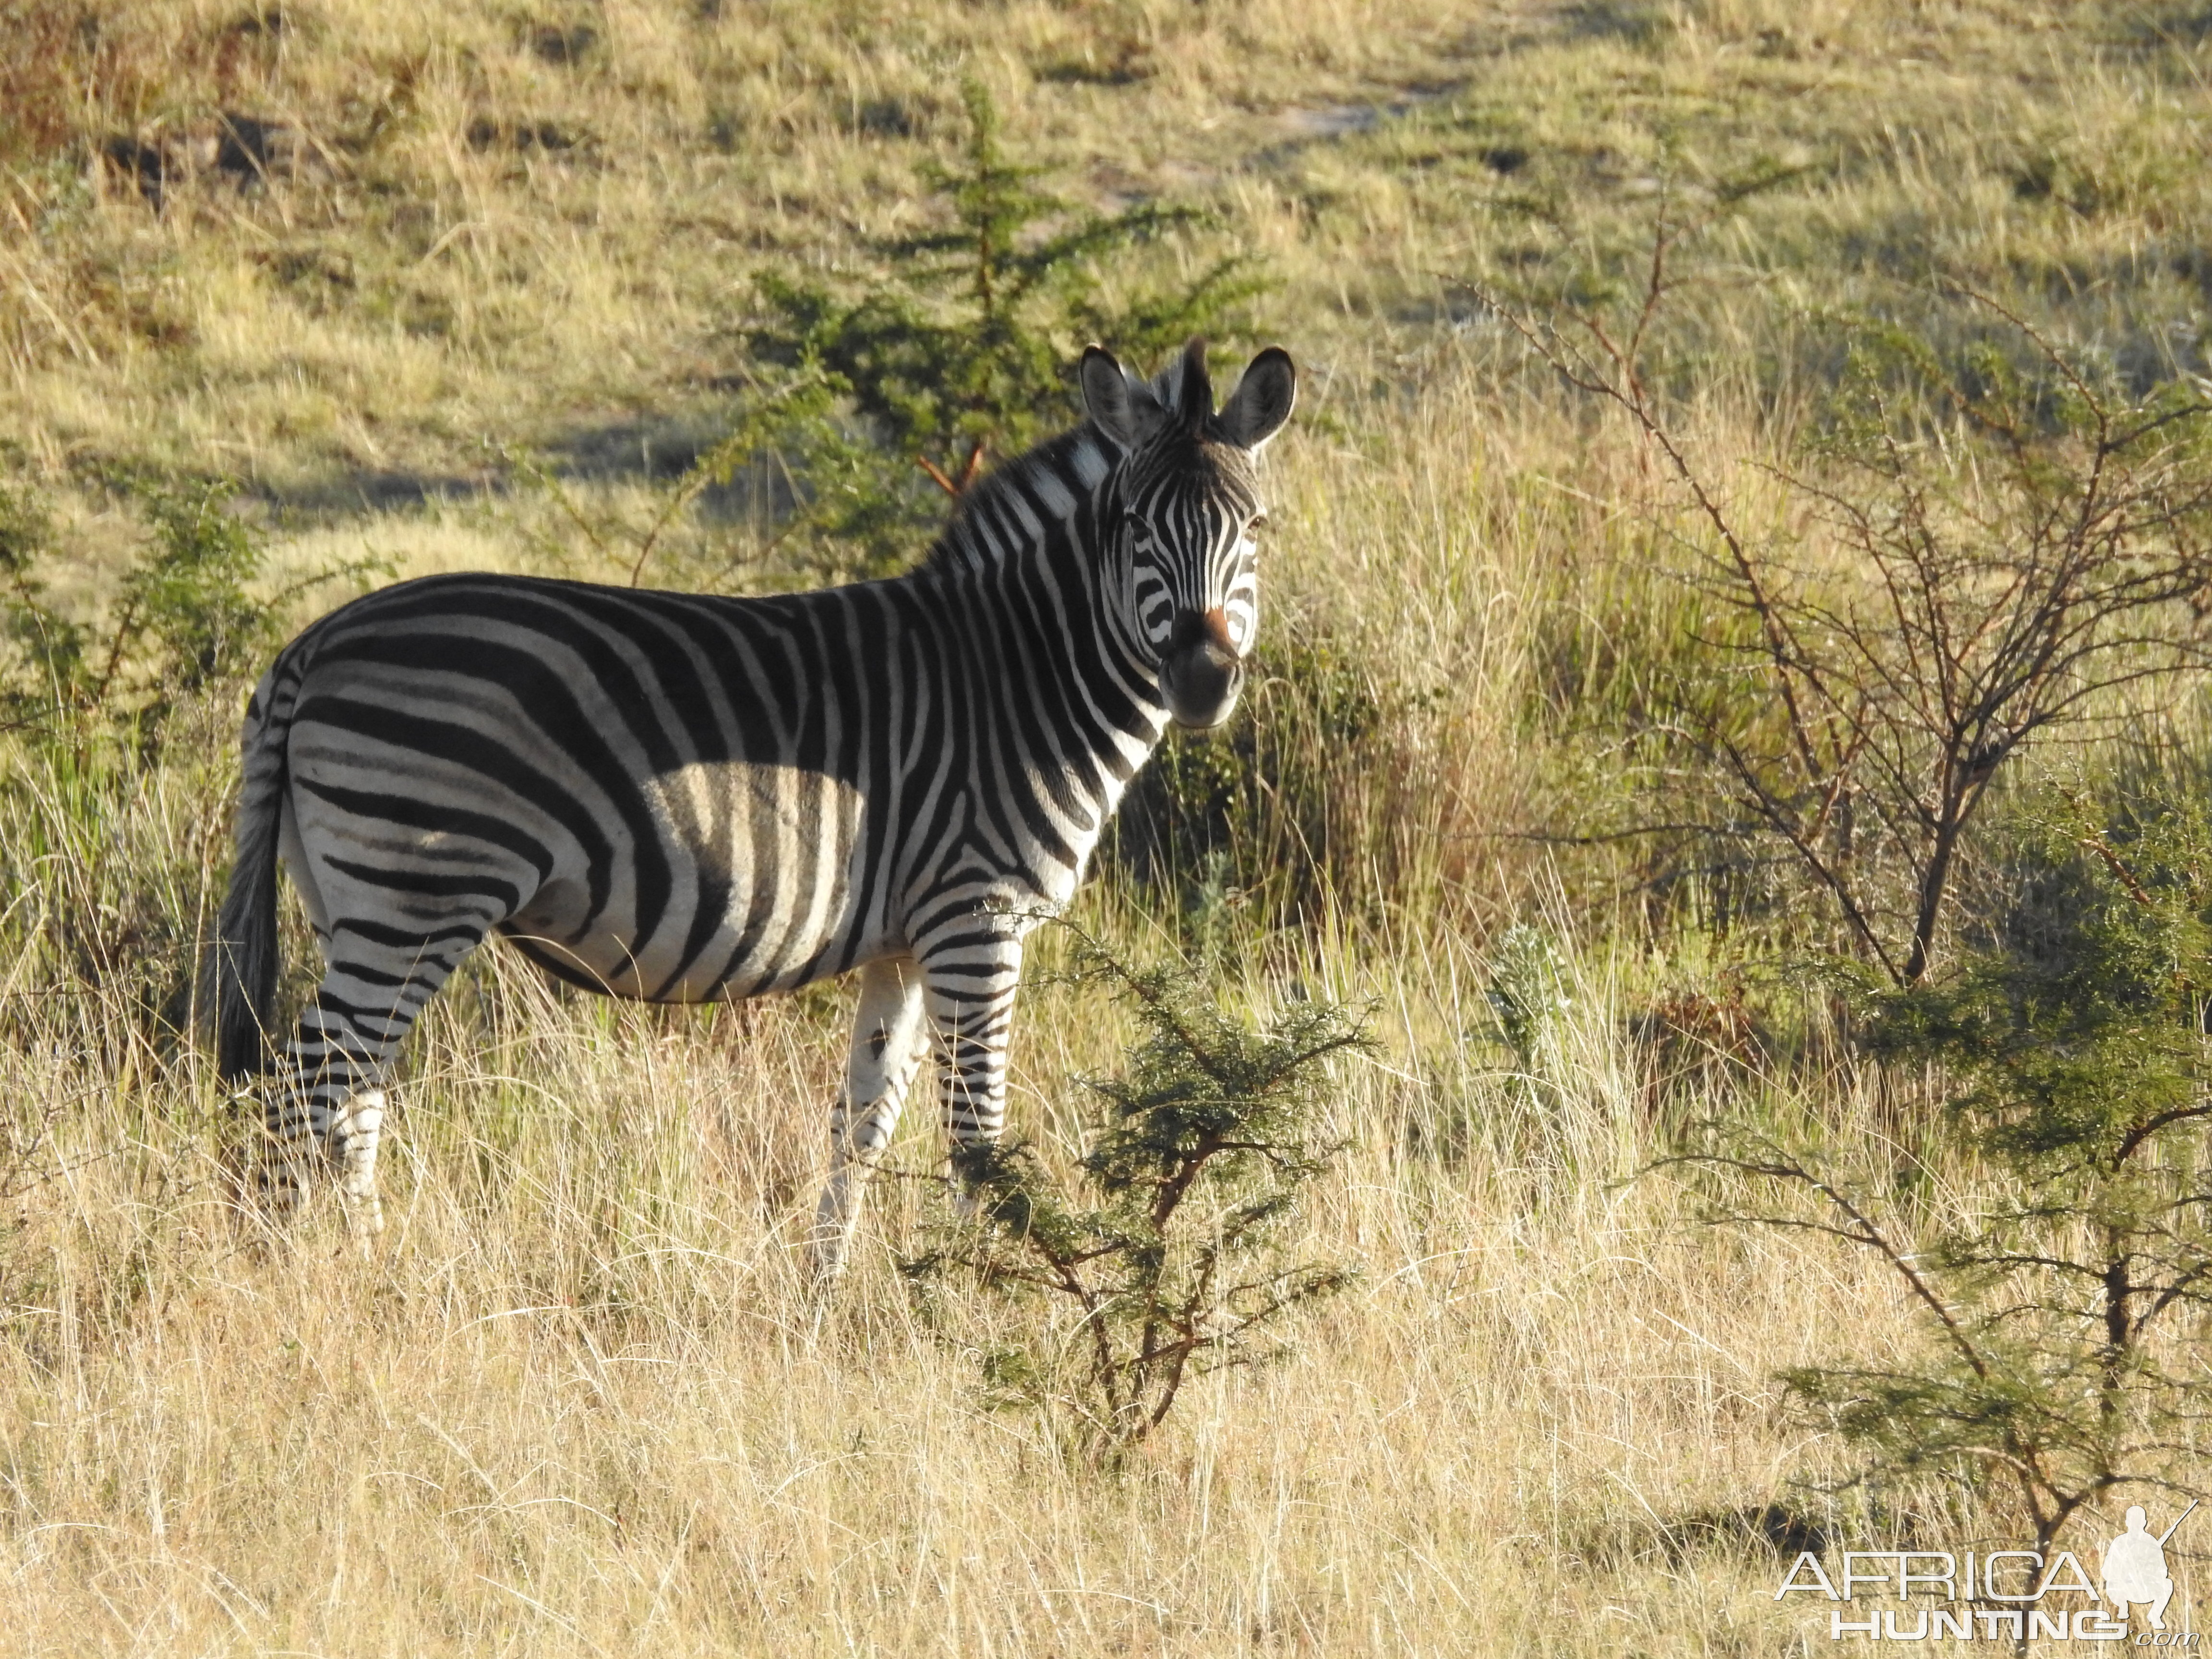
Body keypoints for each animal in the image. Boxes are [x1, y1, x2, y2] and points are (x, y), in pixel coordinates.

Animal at [213, 334, 1292, 1274]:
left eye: (1256, 528)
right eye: (1131, 525)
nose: (1201, 680)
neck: (1020, 673)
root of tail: (311, 643)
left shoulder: (905, 940)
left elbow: (860, 1126)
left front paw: (828, 1298)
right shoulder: (976, 917)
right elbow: (975, 1136)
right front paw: (988, 1299)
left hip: (352, 902)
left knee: (351, 1098)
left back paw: (367, 1267)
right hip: (415, 895)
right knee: (307, 1086)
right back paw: (298, 1279)